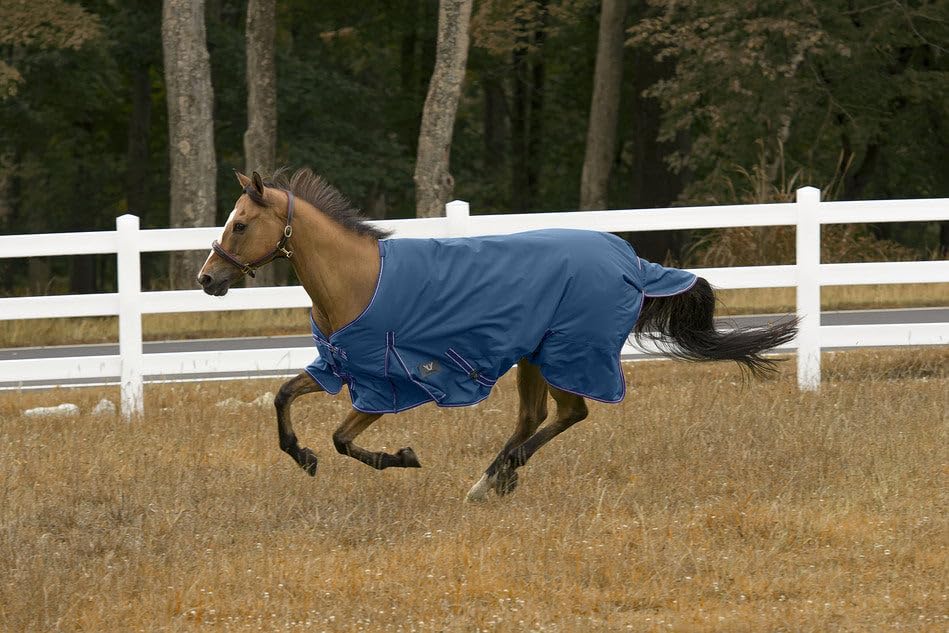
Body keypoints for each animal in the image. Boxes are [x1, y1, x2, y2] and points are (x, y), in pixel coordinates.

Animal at [197, 168, 798, 501]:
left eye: (241, 223)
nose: (207, 278)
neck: (359, 279)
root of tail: (630, 259)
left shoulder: (386, 382)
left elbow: (344, 438)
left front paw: (403, 457)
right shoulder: (339, 366)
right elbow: (284, 397)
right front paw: (302, 456)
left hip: (563, 354)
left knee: (571, 412)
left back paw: (496, 478)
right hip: (534, 356)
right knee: (537, 416)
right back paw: (492, 478)